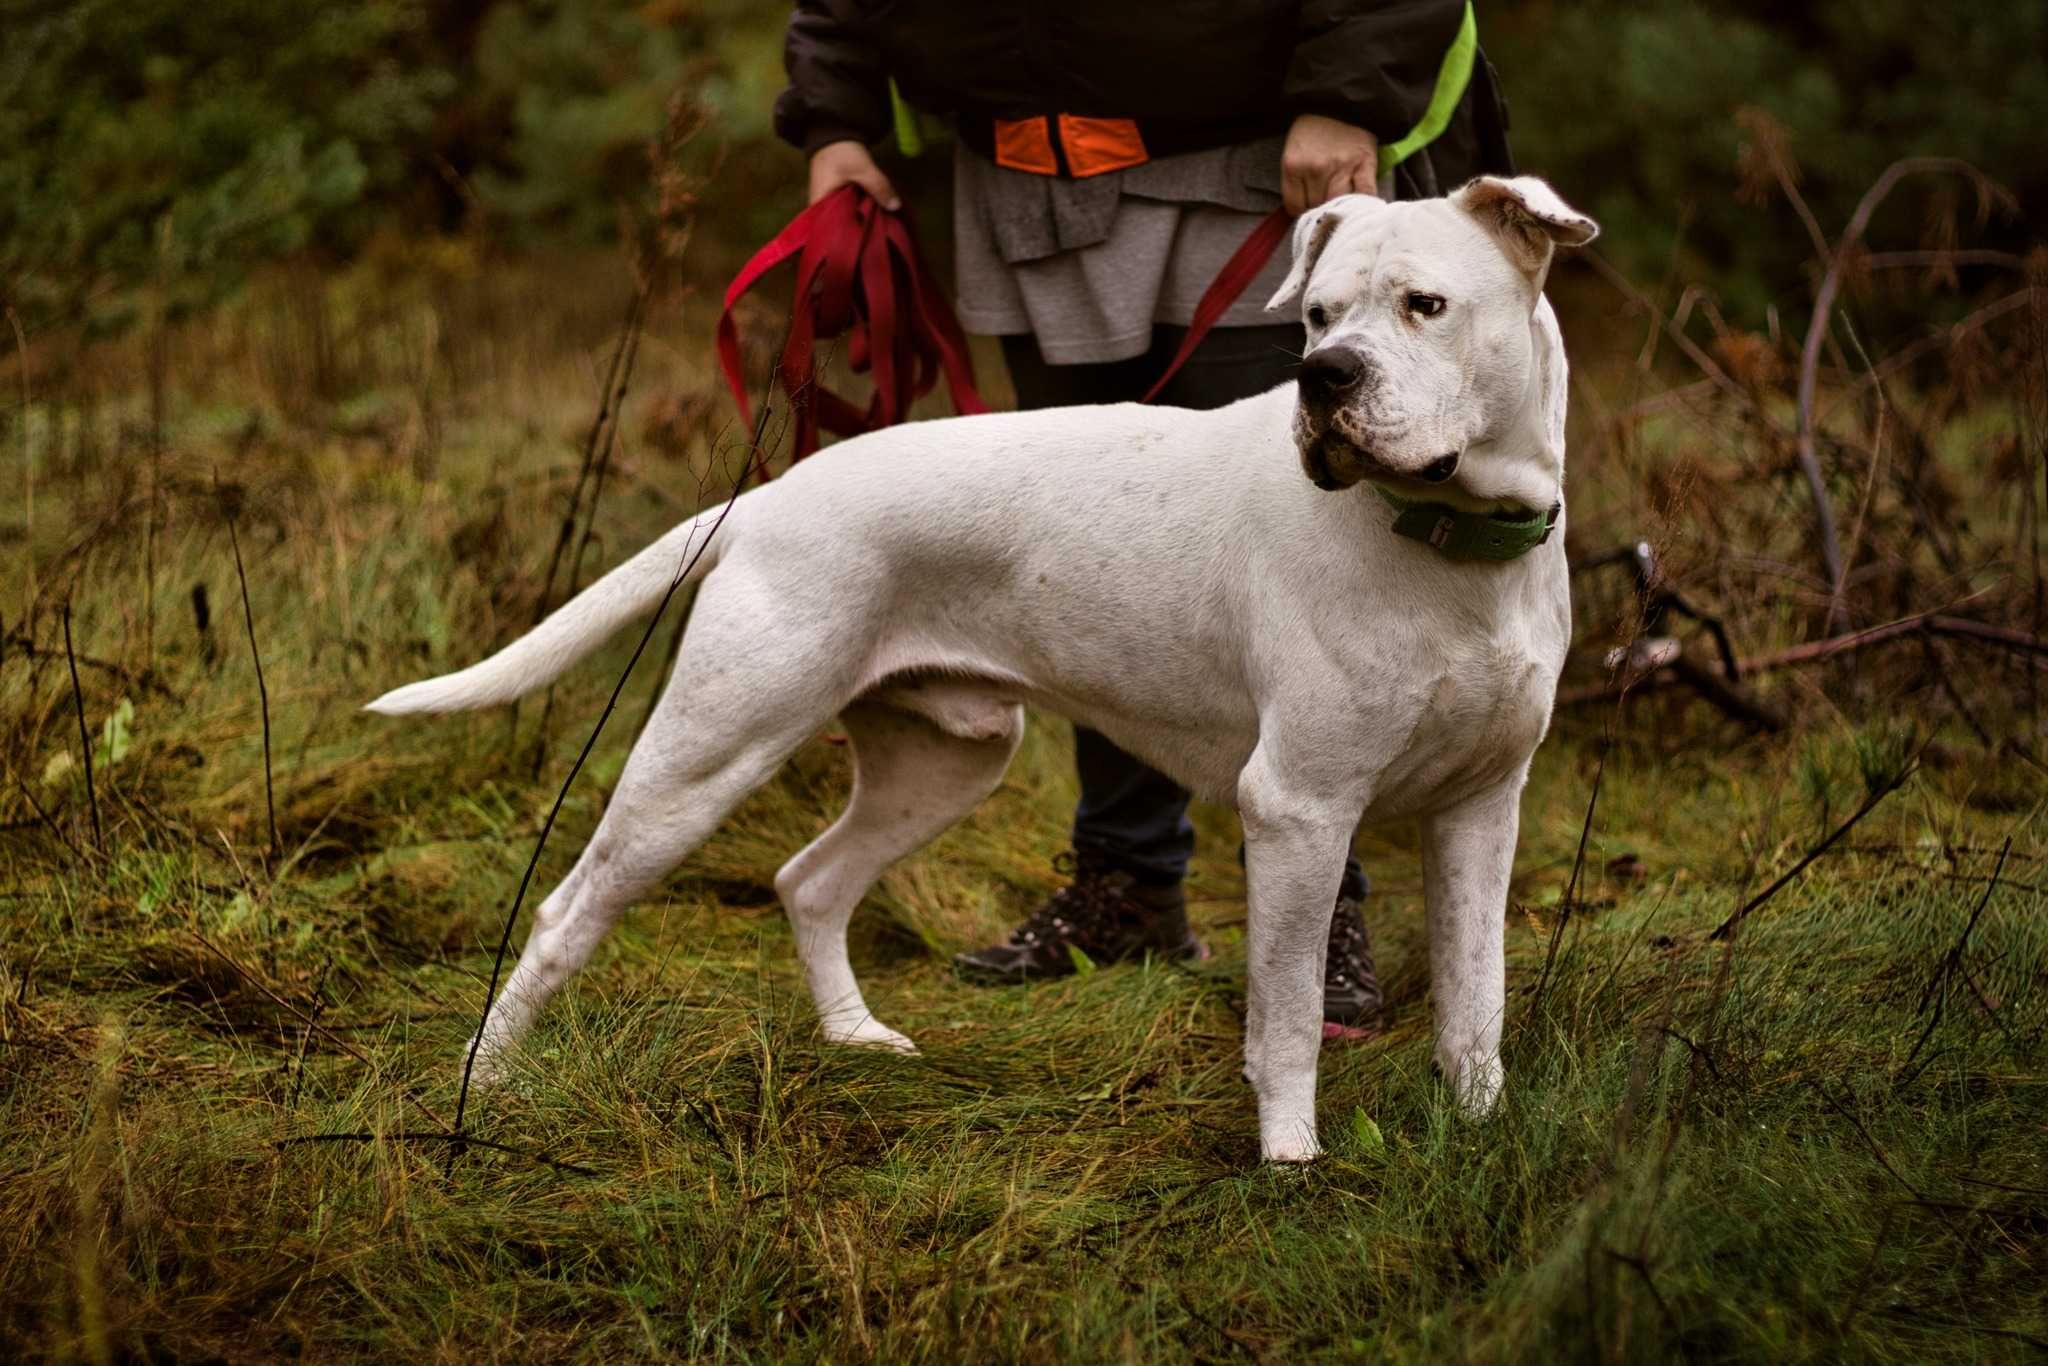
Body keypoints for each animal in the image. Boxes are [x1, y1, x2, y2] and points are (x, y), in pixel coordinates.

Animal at [372, 174, 1597, 1163]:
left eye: (1424, 305)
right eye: (1316, 314)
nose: (1322, 378)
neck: (1452, 548)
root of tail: (766, 498)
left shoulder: (1481, 809)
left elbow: (1475, 998)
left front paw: (1482, 1129)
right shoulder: (1298, 805)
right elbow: (1289, 1012)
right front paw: (1289, 1161)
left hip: (944, 761)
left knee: (810, 880)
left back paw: (855, 1038)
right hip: (704, 756)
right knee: (565, 912)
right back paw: (486, 1086)